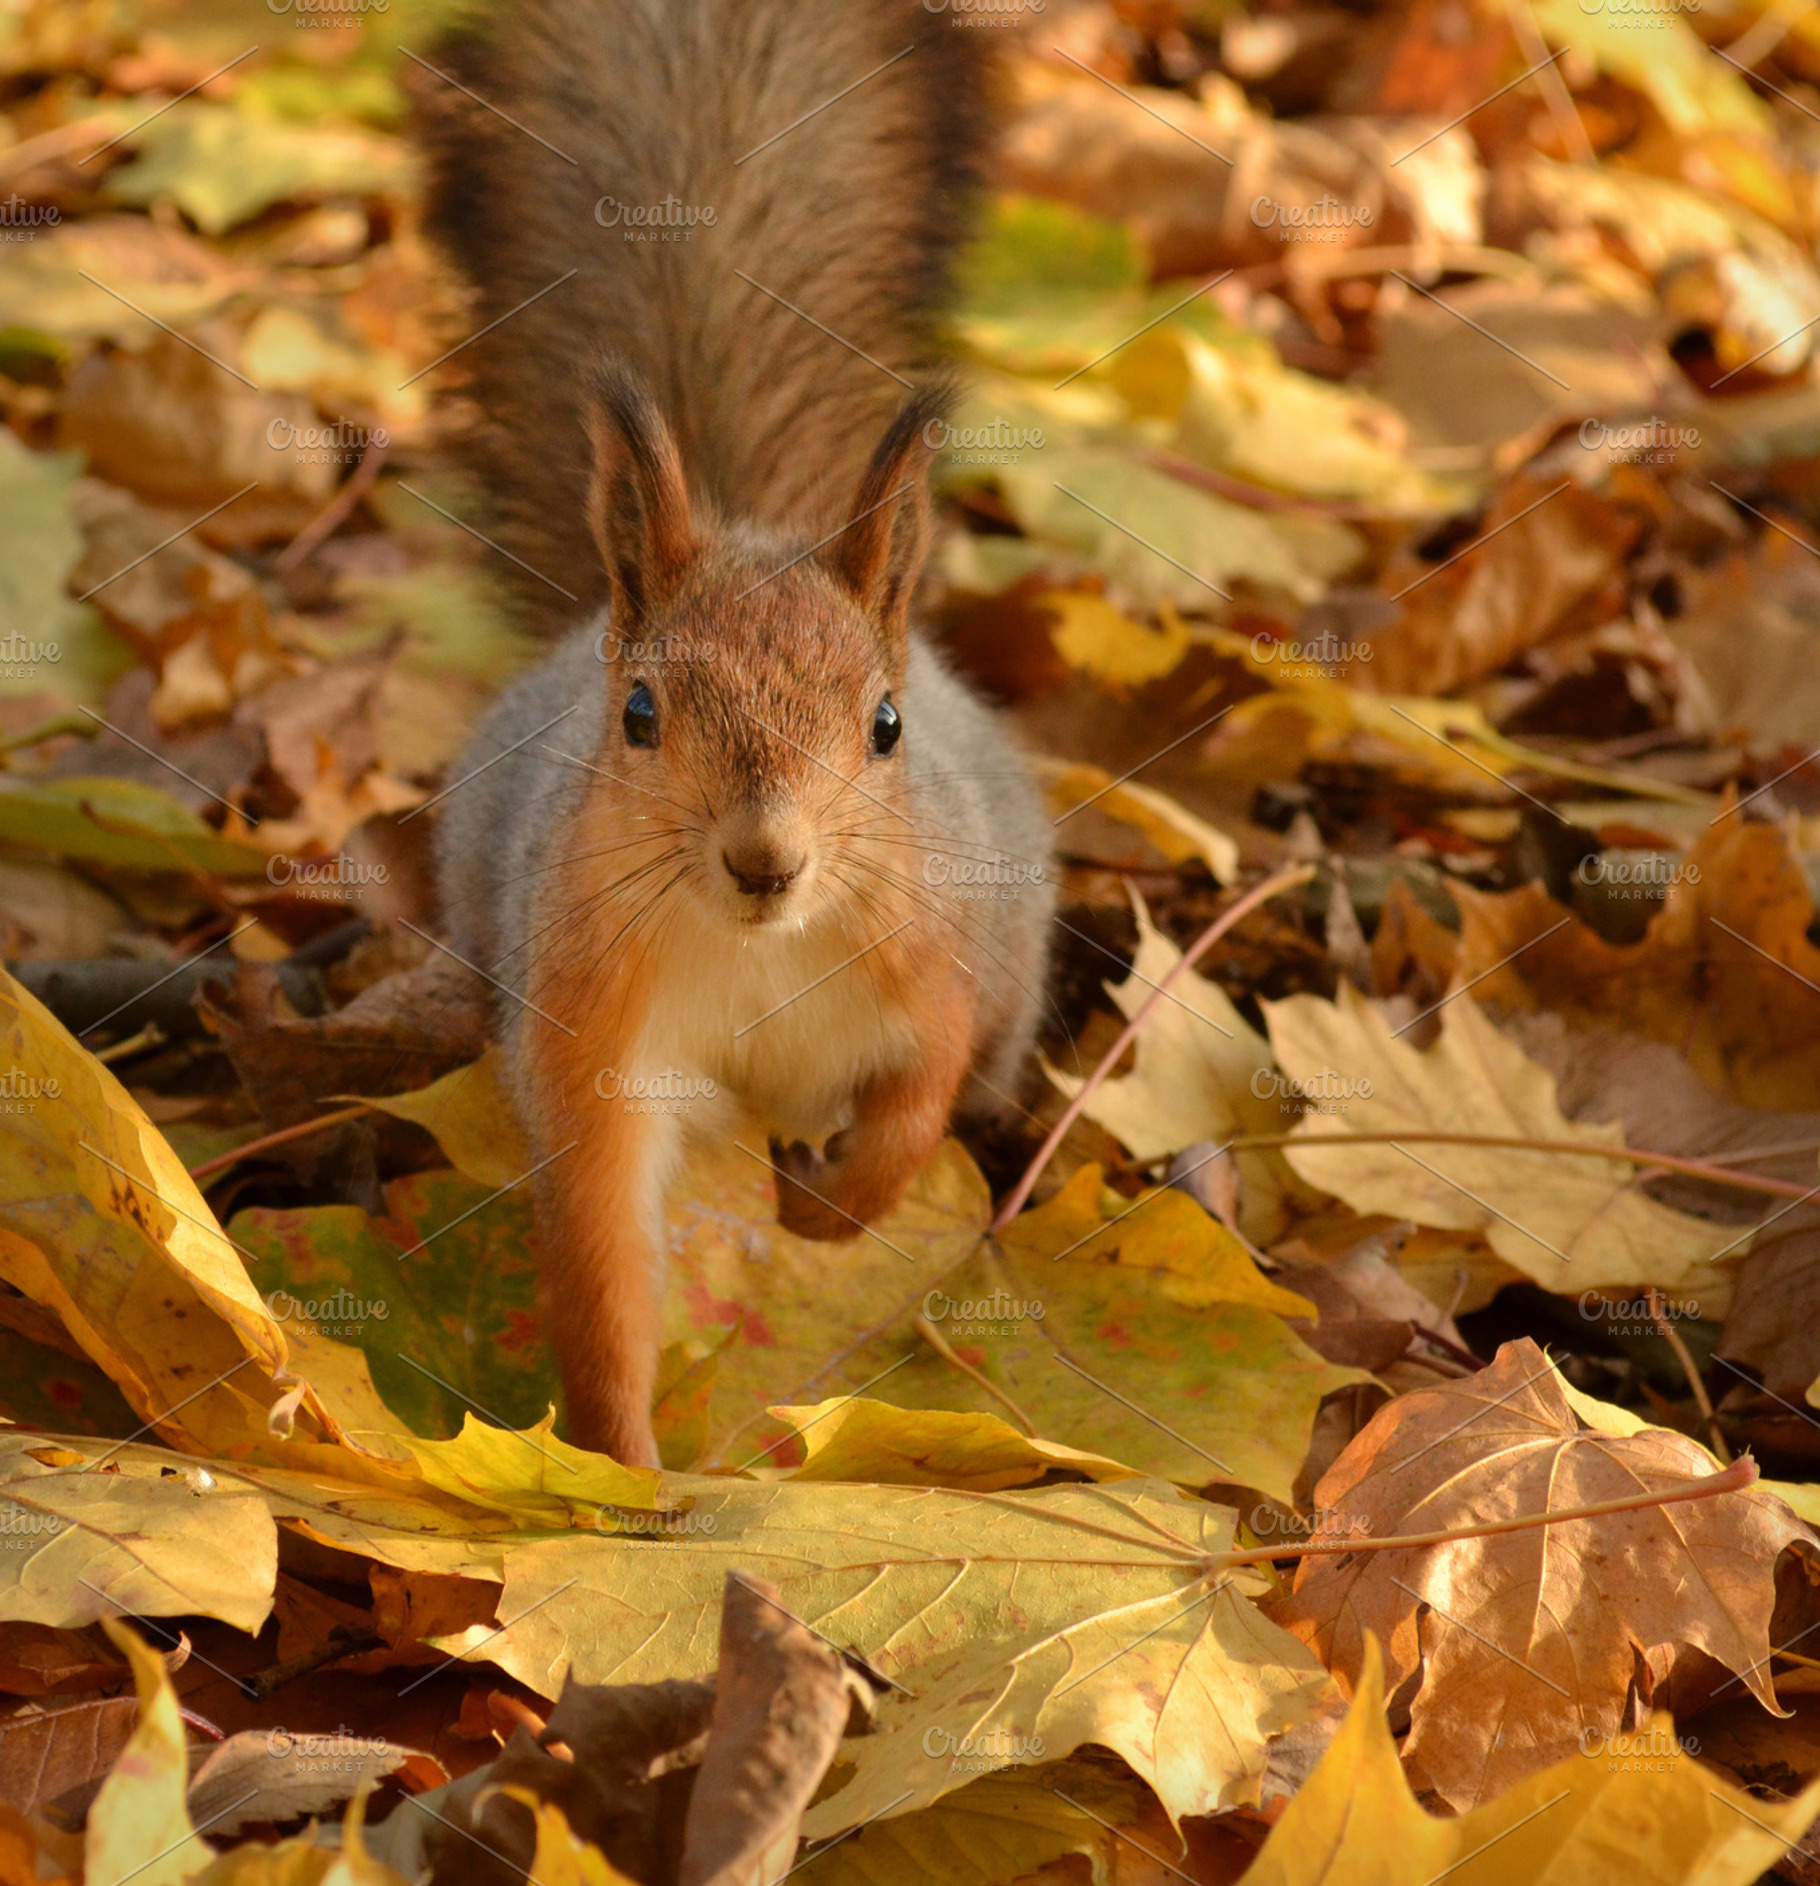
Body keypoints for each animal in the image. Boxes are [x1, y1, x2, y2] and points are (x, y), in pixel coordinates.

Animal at [417, 0, 1056, 1467]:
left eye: (885, 725)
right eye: (640, 713)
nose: (766, 860)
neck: (759, 955)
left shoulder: (924, 958)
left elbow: (914, 1098)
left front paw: (830, 1210)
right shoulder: (591, 1036)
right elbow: (601, 1260)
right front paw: (620, 1468)